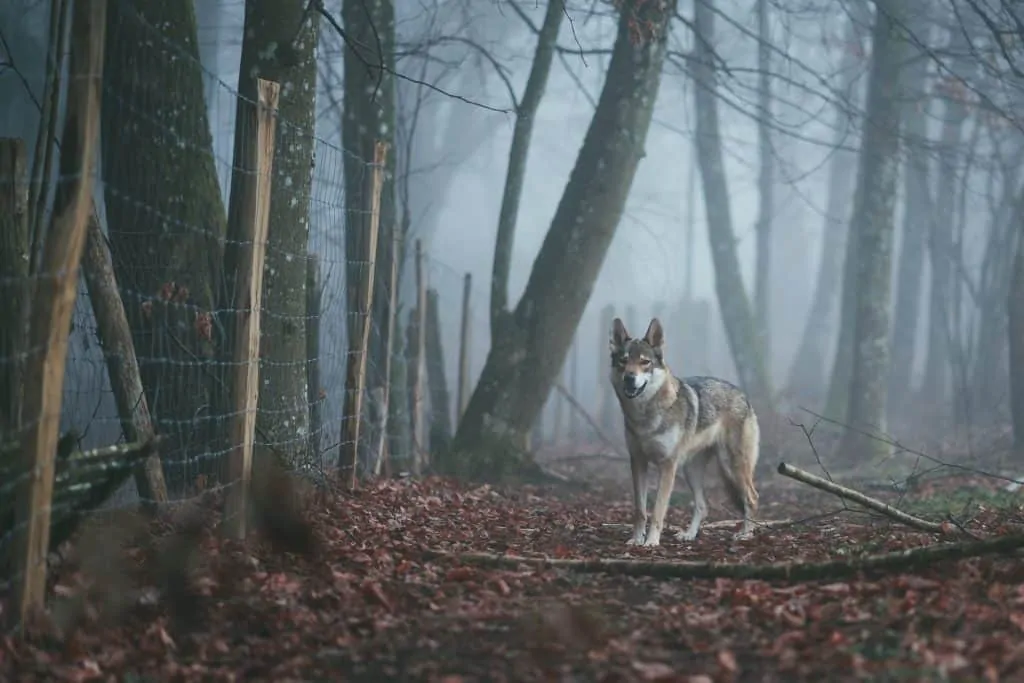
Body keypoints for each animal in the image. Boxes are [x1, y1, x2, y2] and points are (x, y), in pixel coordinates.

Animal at [606, 317, 761, 548]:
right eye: (624, 361)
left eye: (645, 362)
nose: (629, 378)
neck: (645, 415)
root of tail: (743, 394)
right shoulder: (638, 462)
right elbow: (640, 510)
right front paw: (636, 539)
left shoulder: (668, 466)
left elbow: (658, 510)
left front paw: (651, 542)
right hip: (691, 469)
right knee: (703, 505)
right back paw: (689, 534)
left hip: (731, 465)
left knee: (752, 497)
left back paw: (745, 534)